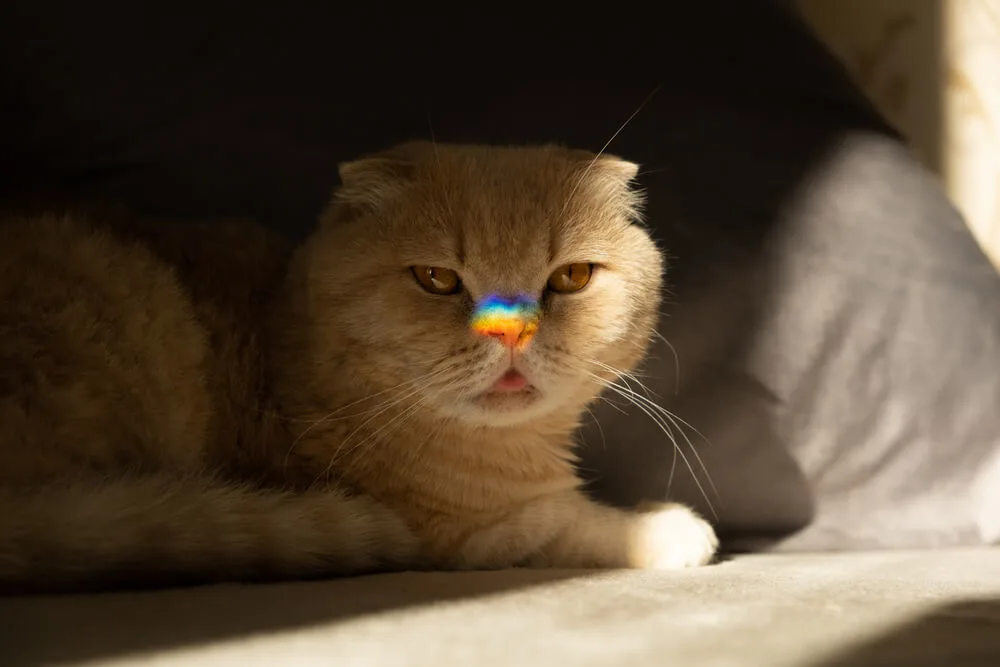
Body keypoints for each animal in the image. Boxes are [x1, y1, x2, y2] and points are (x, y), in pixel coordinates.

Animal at [0, 140, 720, 588]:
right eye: (436, 278)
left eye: (570, 277)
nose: (511, 331)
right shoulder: (469, 534)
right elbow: (570, 521)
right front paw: (664, 527)